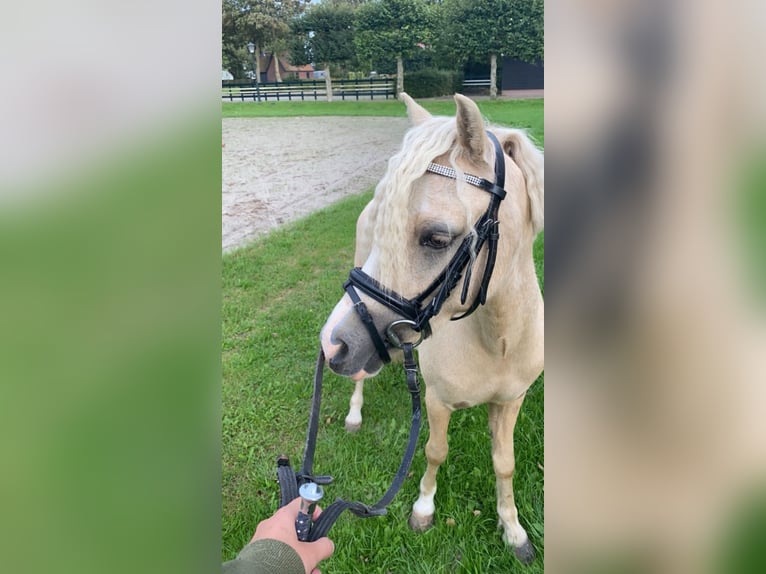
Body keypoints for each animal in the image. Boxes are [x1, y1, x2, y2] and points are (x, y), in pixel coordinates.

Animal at [319, 93, 544, 562]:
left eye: (437, 238)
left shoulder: (511, 401)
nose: (332, 345)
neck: (498, 340)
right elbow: (435, 451)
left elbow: (505, 463)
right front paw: (423, 510)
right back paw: (354, 414)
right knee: (361, 379)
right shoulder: (438, 402)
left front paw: (513, 530)